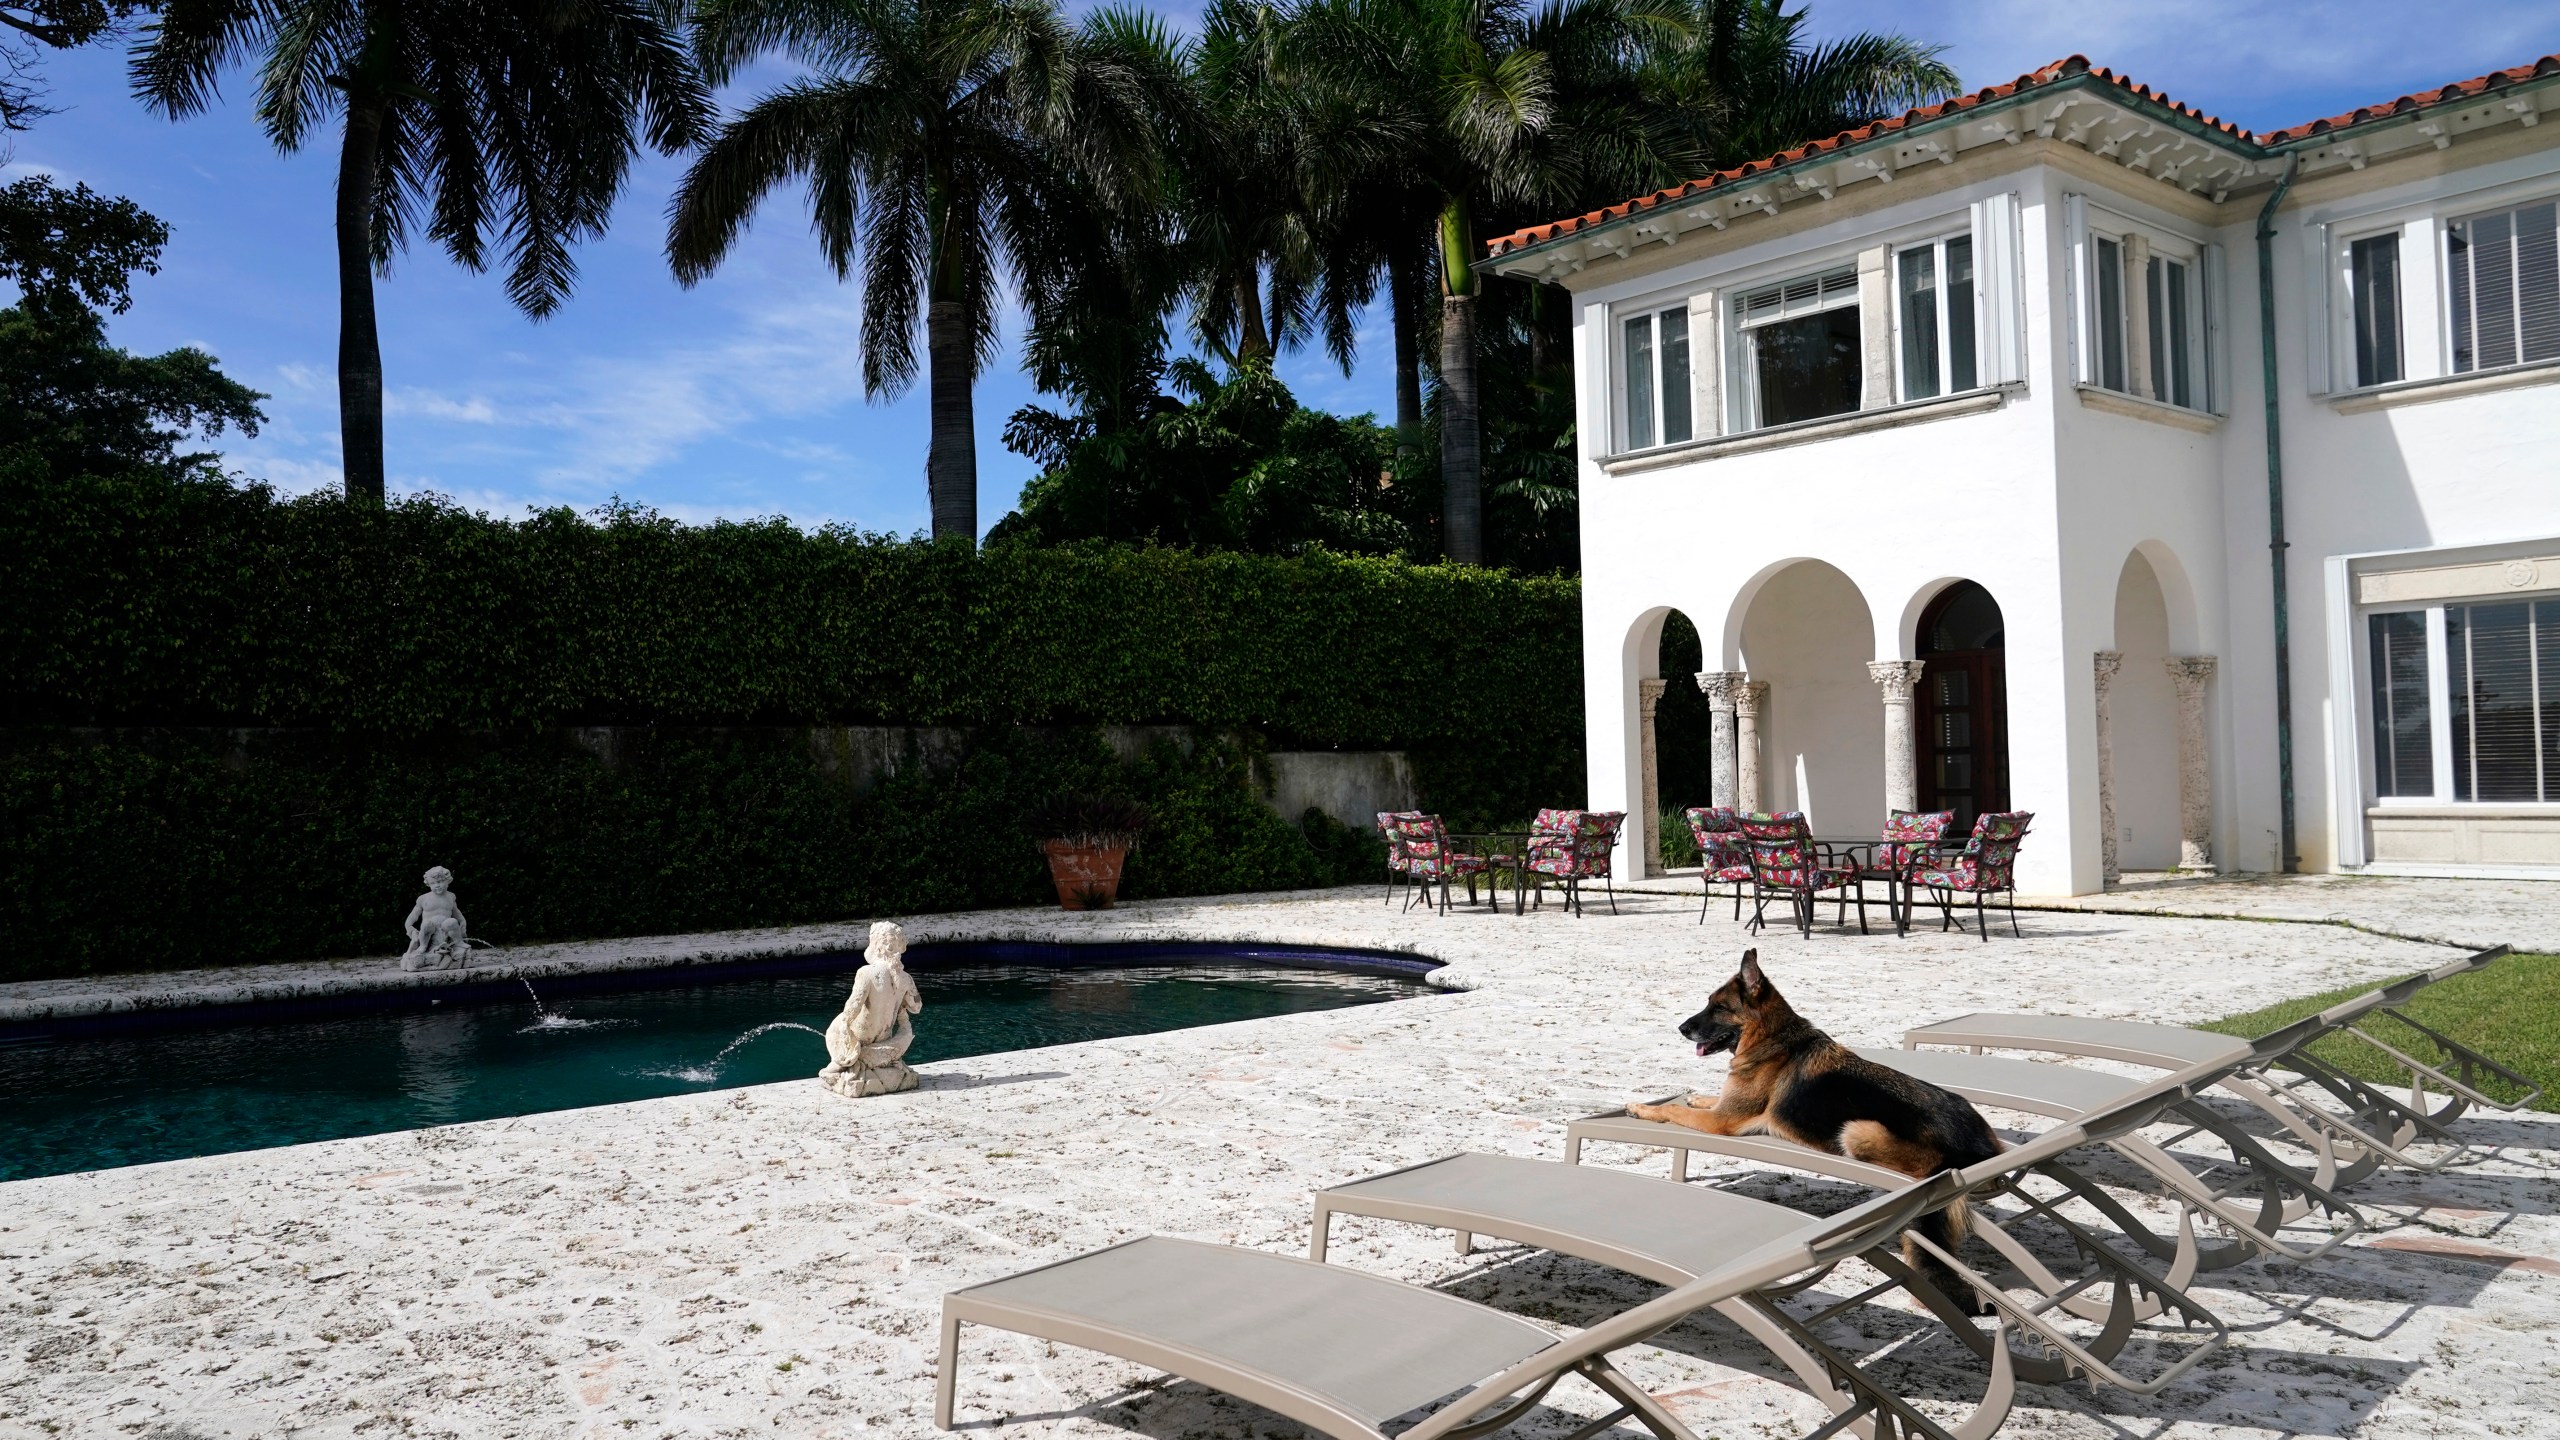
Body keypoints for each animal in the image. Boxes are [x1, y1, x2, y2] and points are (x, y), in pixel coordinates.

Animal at [1628, 948, 2007, 1306]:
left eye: (1718, 1007)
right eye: (1708, 1002)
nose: (1681, 1028)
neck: (1771, 1038)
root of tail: (1979, 1148)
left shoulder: (1724, 1121)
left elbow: (1673, 1109)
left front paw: (1641, 1108)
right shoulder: (1725, 1108)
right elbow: (1700, 1100)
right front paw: (1693, 1097)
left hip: (1857, 1130)